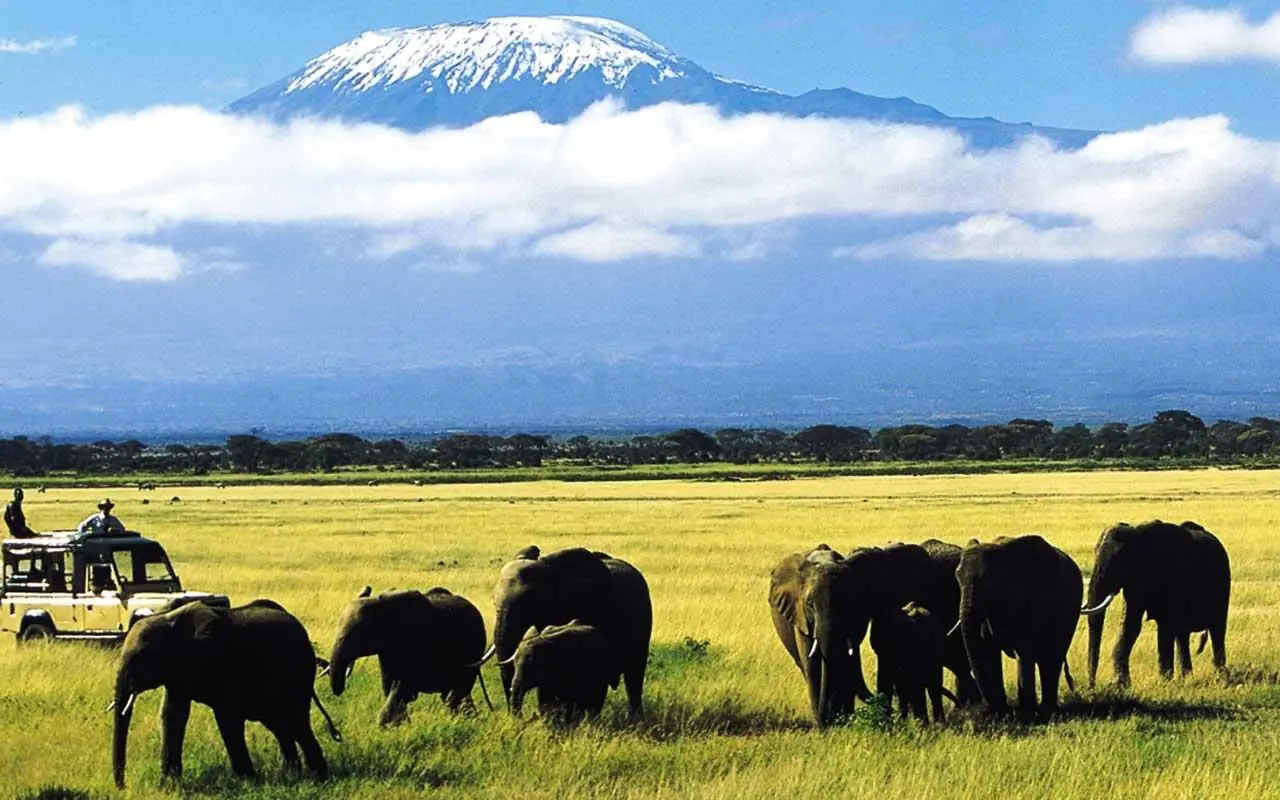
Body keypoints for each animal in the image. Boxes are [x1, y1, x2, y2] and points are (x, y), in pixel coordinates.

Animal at [112, 599, 339, 788]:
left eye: (142, 657)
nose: (123, 786)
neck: (169, 620)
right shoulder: (179, 672)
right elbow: (173, 715)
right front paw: (169, 784)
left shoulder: (220, 662)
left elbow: (227, 717)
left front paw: (248, 780)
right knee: (282, 726)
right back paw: (292, 775)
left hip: (298, 675)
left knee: (297, 723)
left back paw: (318, 778)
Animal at [327, 586, 488, 726]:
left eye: (361, 635)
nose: (339, 691)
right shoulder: (387, 651)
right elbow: (390, 686)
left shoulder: (415, 638)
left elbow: (403, 686)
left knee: (459, 690)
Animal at [956, 535, 1082, 720]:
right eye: (957, 578)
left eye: (992, 581)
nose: (985, 711)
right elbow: (987, 650)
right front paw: (1001, 715)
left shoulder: (1031, 603)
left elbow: (1024, 652)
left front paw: (1026, 716)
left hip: (1070, 612)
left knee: (1052, 657)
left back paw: (1047, 712)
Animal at [1082, 519, 1230, 687]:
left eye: (1120, 558)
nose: (1091, 684)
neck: (1140, 535)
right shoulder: (1136, 583)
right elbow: (1130, 625)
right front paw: (1120, 684)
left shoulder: (1173, 576)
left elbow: (1165, 627)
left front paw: (1164, 683)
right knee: (1183, 635)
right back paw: (1186, 678)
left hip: (1223, 586)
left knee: (1217, 629)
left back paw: (1219, 677)